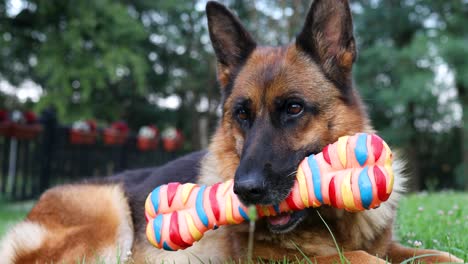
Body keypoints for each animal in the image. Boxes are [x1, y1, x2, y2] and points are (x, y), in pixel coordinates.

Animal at [0, 1, 464, 262]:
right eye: (241, 114)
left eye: (293, 108)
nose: (245, 190)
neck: (330, 219)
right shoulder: (280, 258)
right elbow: (360, 260)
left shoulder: (389, 246)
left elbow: (434, 255)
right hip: (108, 220)